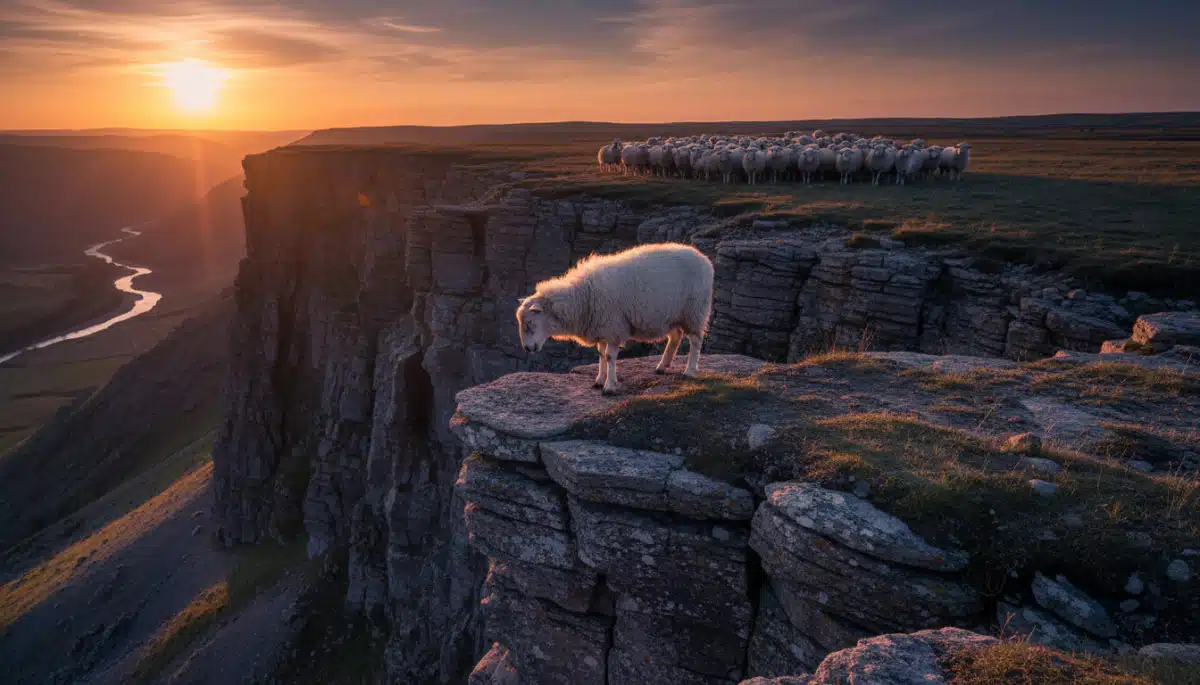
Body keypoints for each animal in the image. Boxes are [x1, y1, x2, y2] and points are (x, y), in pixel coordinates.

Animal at [516, 243, 714, 394]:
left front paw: (609, 386)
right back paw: (662, 366)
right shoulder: (602, 328)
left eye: (530, 323)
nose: (527, 348)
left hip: (694, 311)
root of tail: (705, 260)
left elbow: (610, 357)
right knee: (676, 336)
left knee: (695, 340)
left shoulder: (613, 328)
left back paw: (689, 371)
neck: (582, 297)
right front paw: (599, 380)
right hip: (673, 315)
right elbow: (602, 354)